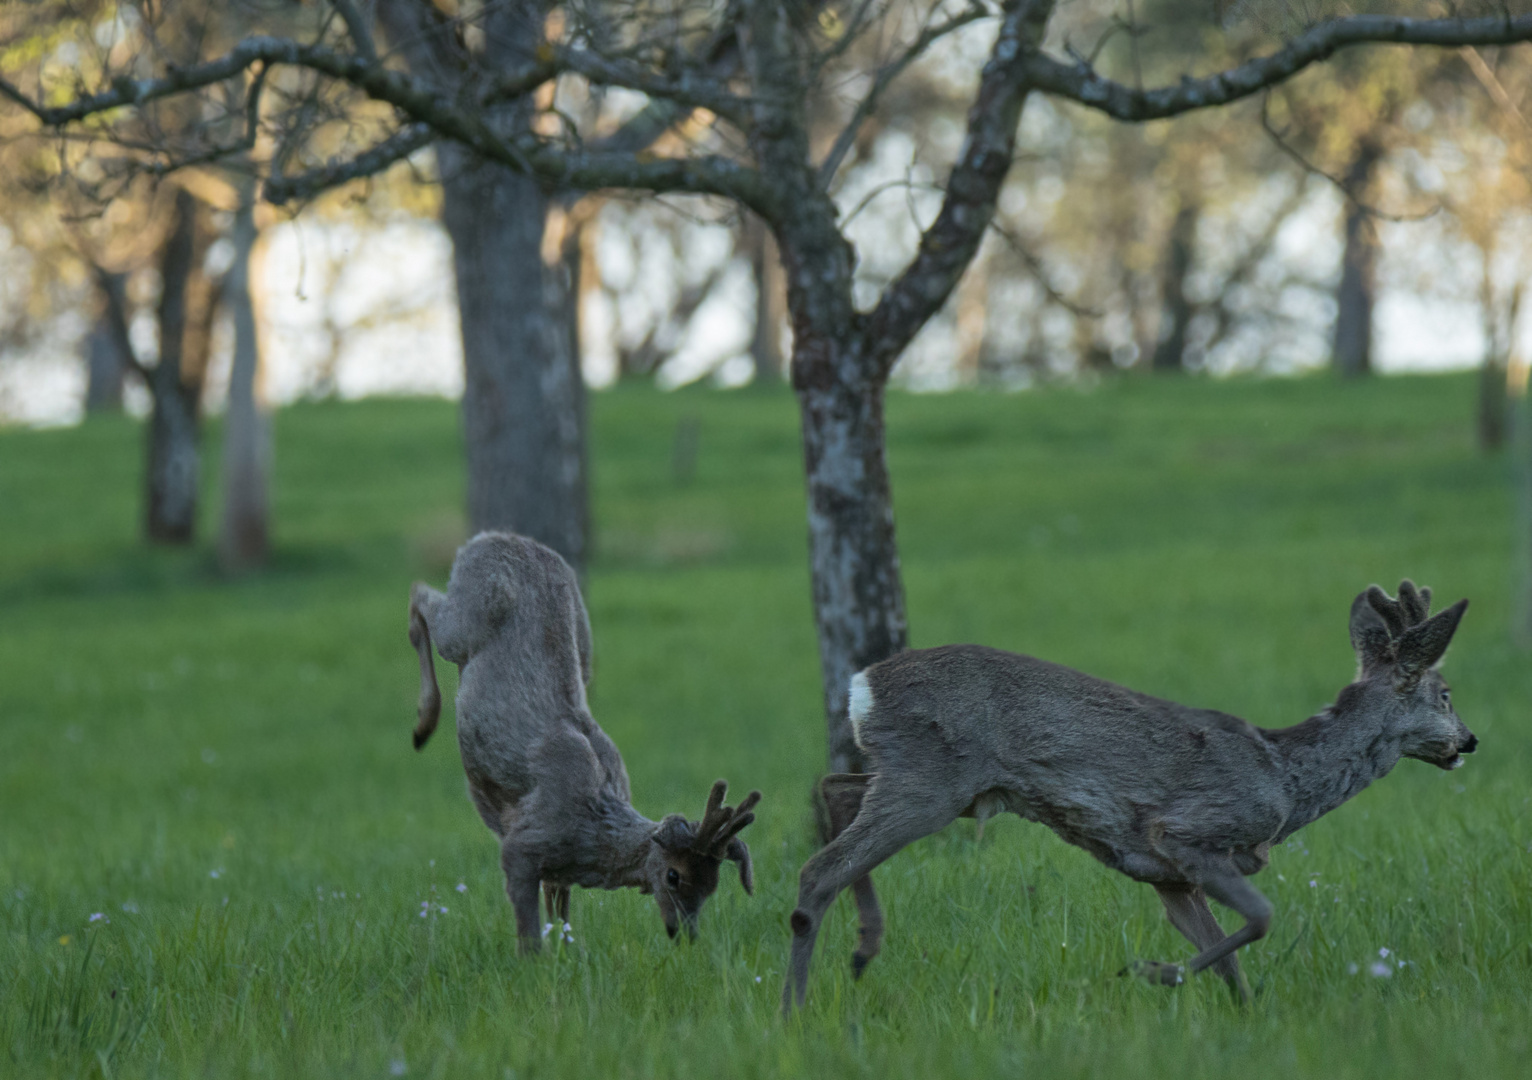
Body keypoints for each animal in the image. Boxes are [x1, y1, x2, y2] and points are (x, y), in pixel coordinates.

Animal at [413, 530, 759, 943]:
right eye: (674, 876)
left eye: (712, 885)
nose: (684, 933)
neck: (589, 834)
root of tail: (495, 536)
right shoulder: (522, 844)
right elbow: (530, 936)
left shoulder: (555, 870)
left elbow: (560, 919)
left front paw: (567, 948)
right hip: (466, 617)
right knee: (420, 597)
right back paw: (422, 725)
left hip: (584, 640)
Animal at [784, 582, 1476, 1011]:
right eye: (1444, 694)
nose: (1469, 741)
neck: (1285, 778)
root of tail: (861, 685)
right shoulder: (1188, 834)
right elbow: (1260, 919)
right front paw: (1151, 972)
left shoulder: (1167, 876)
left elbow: (1226, 959)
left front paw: (1244, 1016)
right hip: (932, 777)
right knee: (819, 867)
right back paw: (797, 1008)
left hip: (930, 779)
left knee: (833, 788)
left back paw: (863, 948)